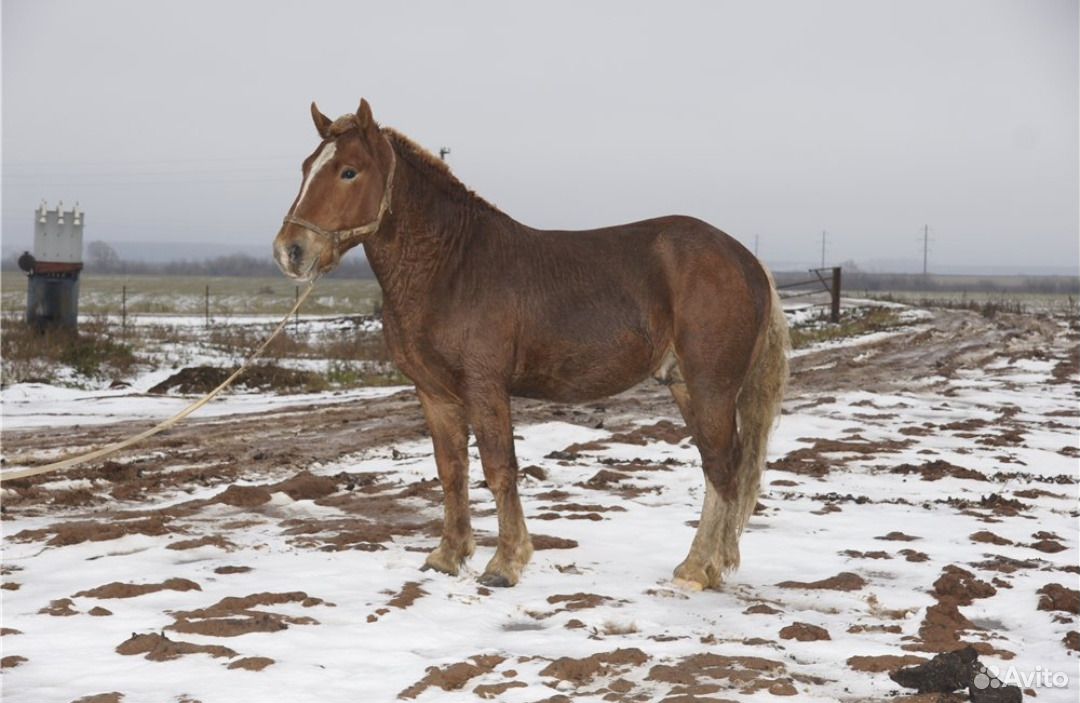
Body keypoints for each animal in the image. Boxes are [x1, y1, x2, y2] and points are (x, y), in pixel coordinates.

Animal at [274, 98, 790, 591]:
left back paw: (698, 570)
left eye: (349, 171)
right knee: (717, 467)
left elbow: (499, 468)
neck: (451, 266)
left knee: (723, 468)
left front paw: (505, 564)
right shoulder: (435, 393)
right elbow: (451, 470)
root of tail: (748, 260)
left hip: (711, 387)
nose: (290, 251)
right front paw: (448, 556)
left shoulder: (485, 386)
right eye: (305, 166)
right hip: (685, 385)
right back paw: (705, 565)